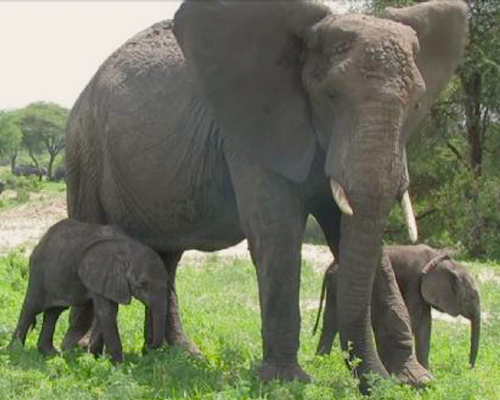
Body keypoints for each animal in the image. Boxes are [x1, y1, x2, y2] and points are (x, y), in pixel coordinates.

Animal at [11, 219, 168, 362]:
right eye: (143, 283)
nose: (149, 345)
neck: (130, 247)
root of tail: (41, 240)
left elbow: (105, 313)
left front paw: (95, 357)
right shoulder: (102, 274)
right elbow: (107, 313)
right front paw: (118, 365)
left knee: (54, 312)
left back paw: (50, 353)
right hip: (39, 271)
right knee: (31, 307)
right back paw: (15, 351)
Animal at [316, 245, 480, 370]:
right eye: (470, 298)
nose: (468, 368)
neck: (437, 258)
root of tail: (330, 266)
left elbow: (424, 327)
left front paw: (428, 371)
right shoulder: (414, 281)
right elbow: (414, 321)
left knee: (330, 322)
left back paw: (322, 362)